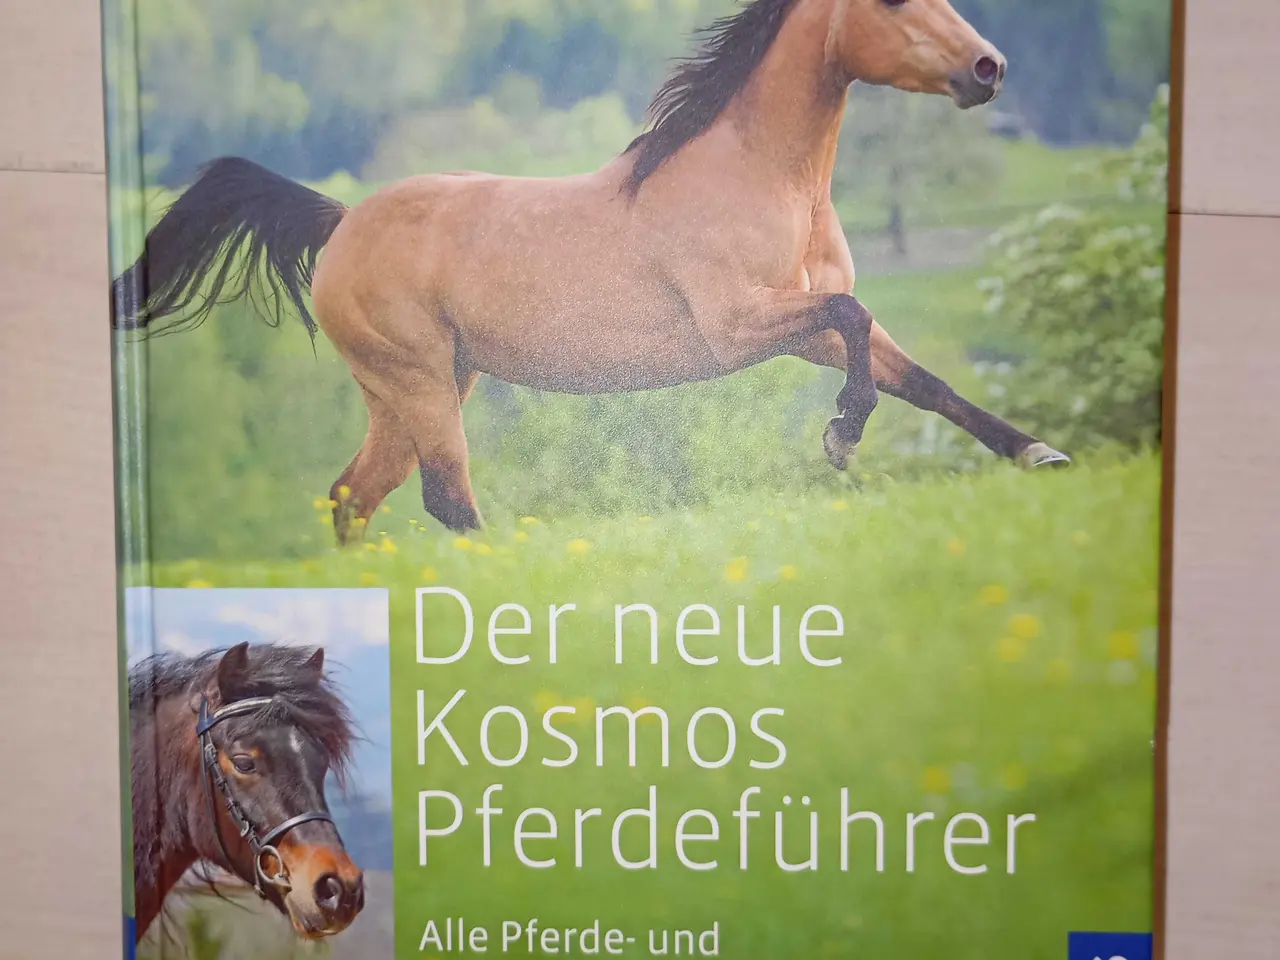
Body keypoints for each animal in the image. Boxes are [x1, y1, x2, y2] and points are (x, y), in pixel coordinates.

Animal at [111, 0, 1070, 546]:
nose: (989, 67)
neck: (760, 175)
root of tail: (343, 221)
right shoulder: (742, 326)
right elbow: (854, 313)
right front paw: (841, 438)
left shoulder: (802, 331)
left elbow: (923, 376)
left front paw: (1039, 453)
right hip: (418, 380)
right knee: (447, 500)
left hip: (421, 387)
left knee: (353, 496)